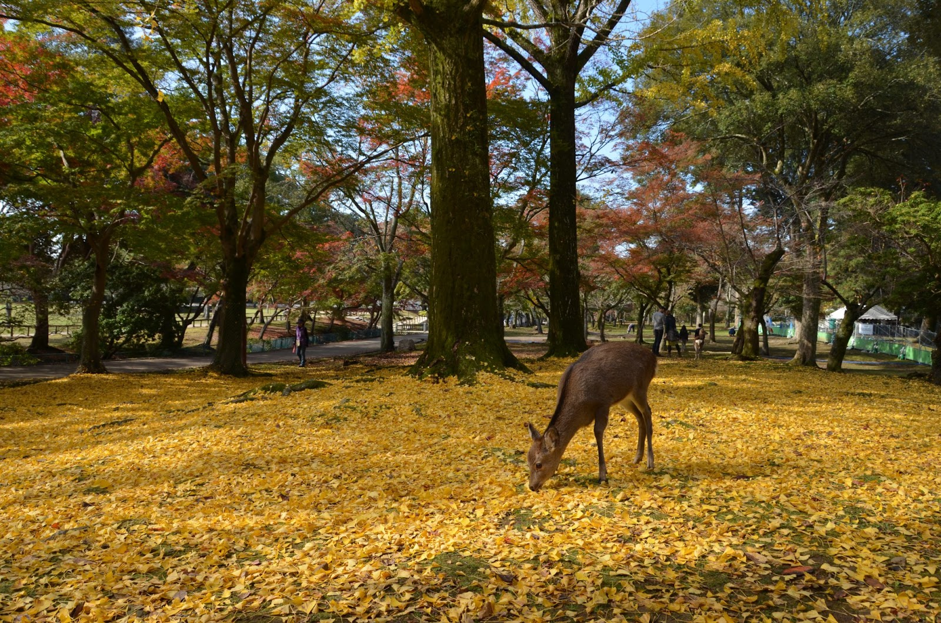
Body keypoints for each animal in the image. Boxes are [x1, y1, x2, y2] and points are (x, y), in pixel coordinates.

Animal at [524, 342, 656, 492]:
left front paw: (602, 475)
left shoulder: (603, 403)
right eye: (527, 460)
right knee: (639, 416)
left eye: (538, 464)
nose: (532, 486)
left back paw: (650, 461)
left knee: (647, 412)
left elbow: (597, 432)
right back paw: (637, 458)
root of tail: (653, 358)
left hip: (640, 387)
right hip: (625, 398)